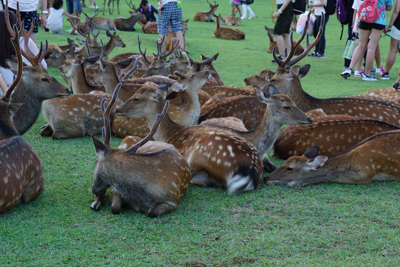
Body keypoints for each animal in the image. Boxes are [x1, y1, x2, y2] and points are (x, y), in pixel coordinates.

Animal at [91, 84, 191, 218]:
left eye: (95, 162)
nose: (92, 188)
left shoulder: (173, 200)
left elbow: (151, 212)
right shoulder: (117, 190)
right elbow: (115, 207)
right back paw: (95, 203)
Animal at [266, 137, 400, 189]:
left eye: (290, 168)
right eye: (283, 162)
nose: (266, 178)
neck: (353, 158)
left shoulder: (367, 170)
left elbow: (331, 174)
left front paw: (292, 183)